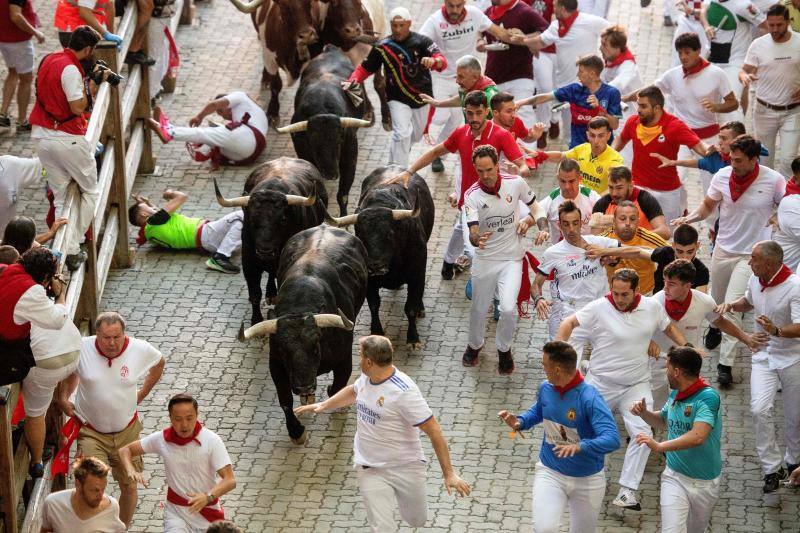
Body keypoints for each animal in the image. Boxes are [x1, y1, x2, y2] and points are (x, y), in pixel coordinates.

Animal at [239, 222, 368, 442]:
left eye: (315, 347)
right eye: (284, 351)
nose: (304, 387)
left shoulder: (344, 359)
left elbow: (337, 387)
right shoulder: (276, 366)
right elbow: (285, 400)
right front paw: (296, 431)